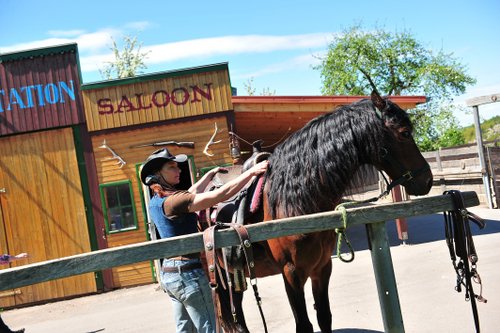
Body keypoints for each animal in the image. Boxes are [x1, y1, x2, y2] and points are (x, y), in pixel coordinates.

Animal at [209, 89, 432, 330]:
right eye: (405, 133)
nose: (428, 179)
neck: (297, 207)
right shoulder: (291, 274)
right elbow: (304, 325)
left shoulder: (322, 267)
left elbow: (324, 316)